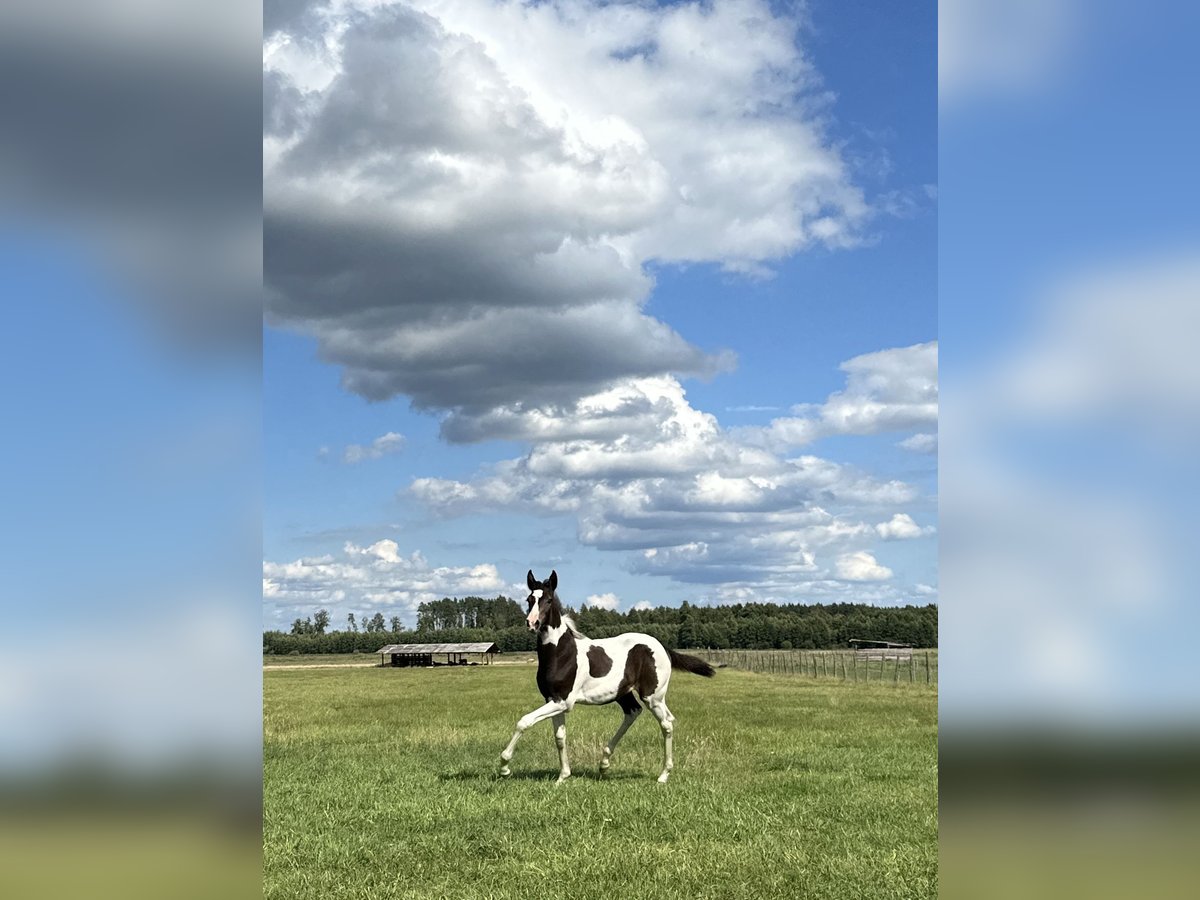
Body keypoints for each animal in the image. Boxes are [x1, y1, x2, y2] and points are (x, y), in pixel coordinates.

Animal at [496, 573, 710, 787]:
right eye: (529, 599)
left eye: (548, 600)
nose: (532, 623)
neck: (561, 654)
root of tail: (663, 647)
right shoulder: (553, 700)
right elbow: (560, 737)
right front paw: (563, 776)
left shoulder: (563, 701)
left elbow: (524, 721)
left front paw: (504, 767)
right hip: (624, 694)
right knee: (635, 712)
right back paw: (604, 764)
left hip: (653, 697)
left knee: (666, 724)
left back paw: (663, 775)